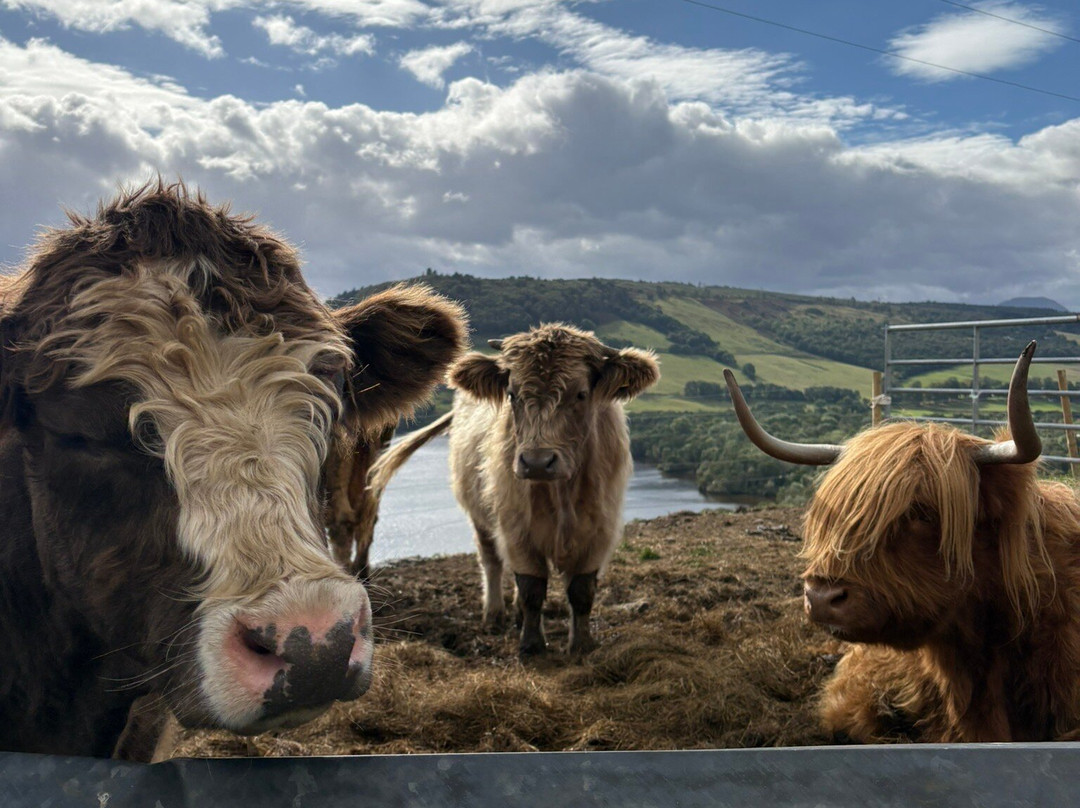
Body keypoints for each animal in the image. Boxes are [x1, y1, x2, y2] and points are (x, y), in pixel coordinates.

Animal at [371, 324, 659, 656]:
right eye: (512, 394)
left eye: (581, 394)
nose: (537, 462)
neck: (561, 493)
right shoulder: (516, 528)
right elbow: (532, 587)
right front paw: (532, 646)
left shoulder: (599, 530)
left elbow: (581, 591)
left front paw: (581, 644)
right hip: (480, 516)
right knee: (492, 561)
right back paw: (495, 614)